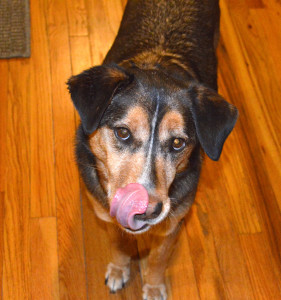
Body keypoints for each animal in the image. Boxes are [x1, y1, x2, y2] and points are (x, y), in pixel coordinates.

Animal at [66, 1, 237, 298]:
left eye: (178, 143)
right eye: (123, 132)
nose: (146, 211)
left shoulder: (172, 224)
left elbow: (158, 259)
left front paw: (154, 287)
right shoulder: (106, 214)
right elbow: (118, 244)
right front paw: (118, 270)